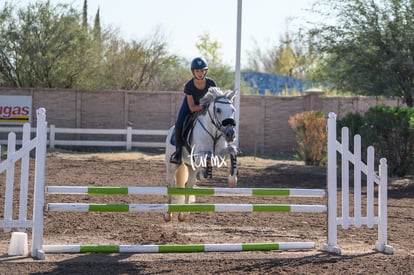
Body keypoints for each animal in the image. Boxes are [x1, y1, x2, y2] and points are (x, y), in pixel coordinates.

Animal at [164, 87, 239, 223]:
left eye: (233, 110)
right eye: (218, 110)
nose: (230, 134)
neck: (213, 132)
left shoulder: (221, 154)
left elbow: (232, 150)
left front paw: (232, 180)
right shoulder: (198, 155)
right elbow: (208, 156)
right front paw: (205, 174)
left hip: (191, 167)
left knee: (188, 185)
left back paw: (183, 214)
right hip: (172, 165)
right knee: (171, 183)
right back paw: (168, 214)